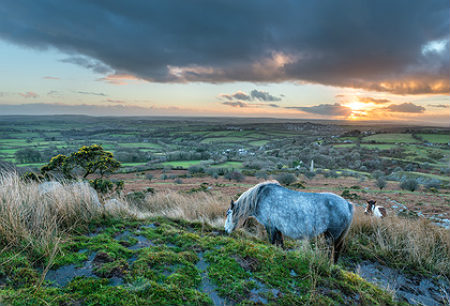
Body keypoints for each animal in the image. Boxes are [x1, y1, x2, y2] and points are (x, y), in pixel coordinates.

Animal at [223, 182, 354, 262]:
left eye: (228, 213)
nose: (225, 230)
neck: (260, 197)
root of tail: (347, 204)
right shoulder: (278, 229)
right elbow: (280, 244)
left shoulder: (270, 227)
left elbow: (272, 242)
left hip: (332, 235)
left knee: (332, 250)